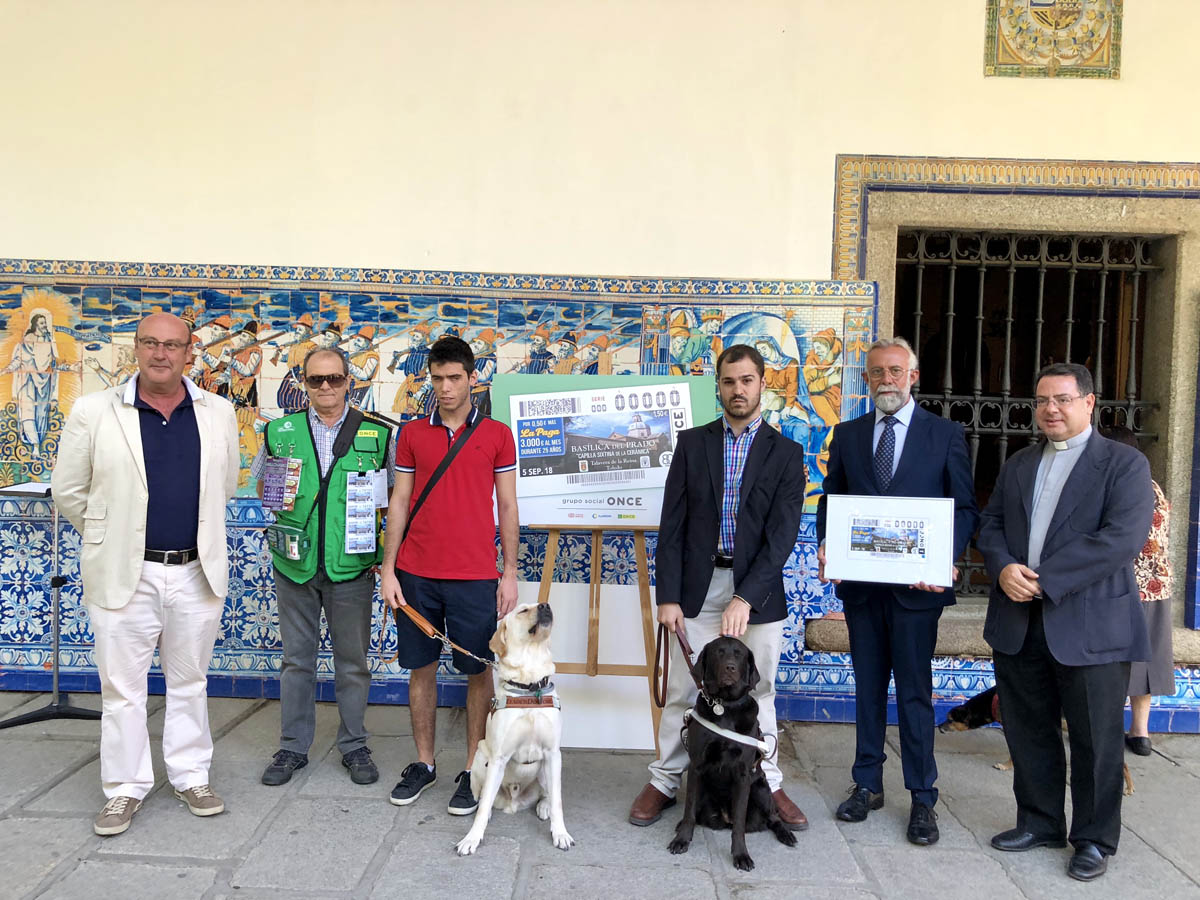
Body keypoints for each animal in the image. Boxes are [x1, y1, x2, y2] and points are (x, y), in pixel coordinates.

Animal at [456, 602, 573, 854]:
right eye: (522, 611)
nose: (546, 605)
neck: (530, 686)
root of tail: (513, 801)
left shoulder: (553, 753)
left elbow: (558, 801)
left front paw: (560, 833)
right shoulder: (498, 757)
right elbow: (482, 807)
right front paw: (472, 838)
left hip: (546, 770)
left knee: (547, 795)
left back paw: (543, 807)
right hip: (481, 756)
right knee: (484, 796)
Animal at [667, 633, 796, 873]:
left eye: (739, 654)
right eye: (719, 652)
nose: (730, 668)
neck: (725, 705)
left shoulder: (743, 774)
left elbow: (738, 825)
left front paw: (741, 855)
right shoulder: (696, 767)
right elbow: (689, 811)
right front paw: (682, 839)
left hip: (760, 788)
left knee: (772, 818)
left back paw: (786, 834)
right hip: (705, 791)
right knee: (696, 812)